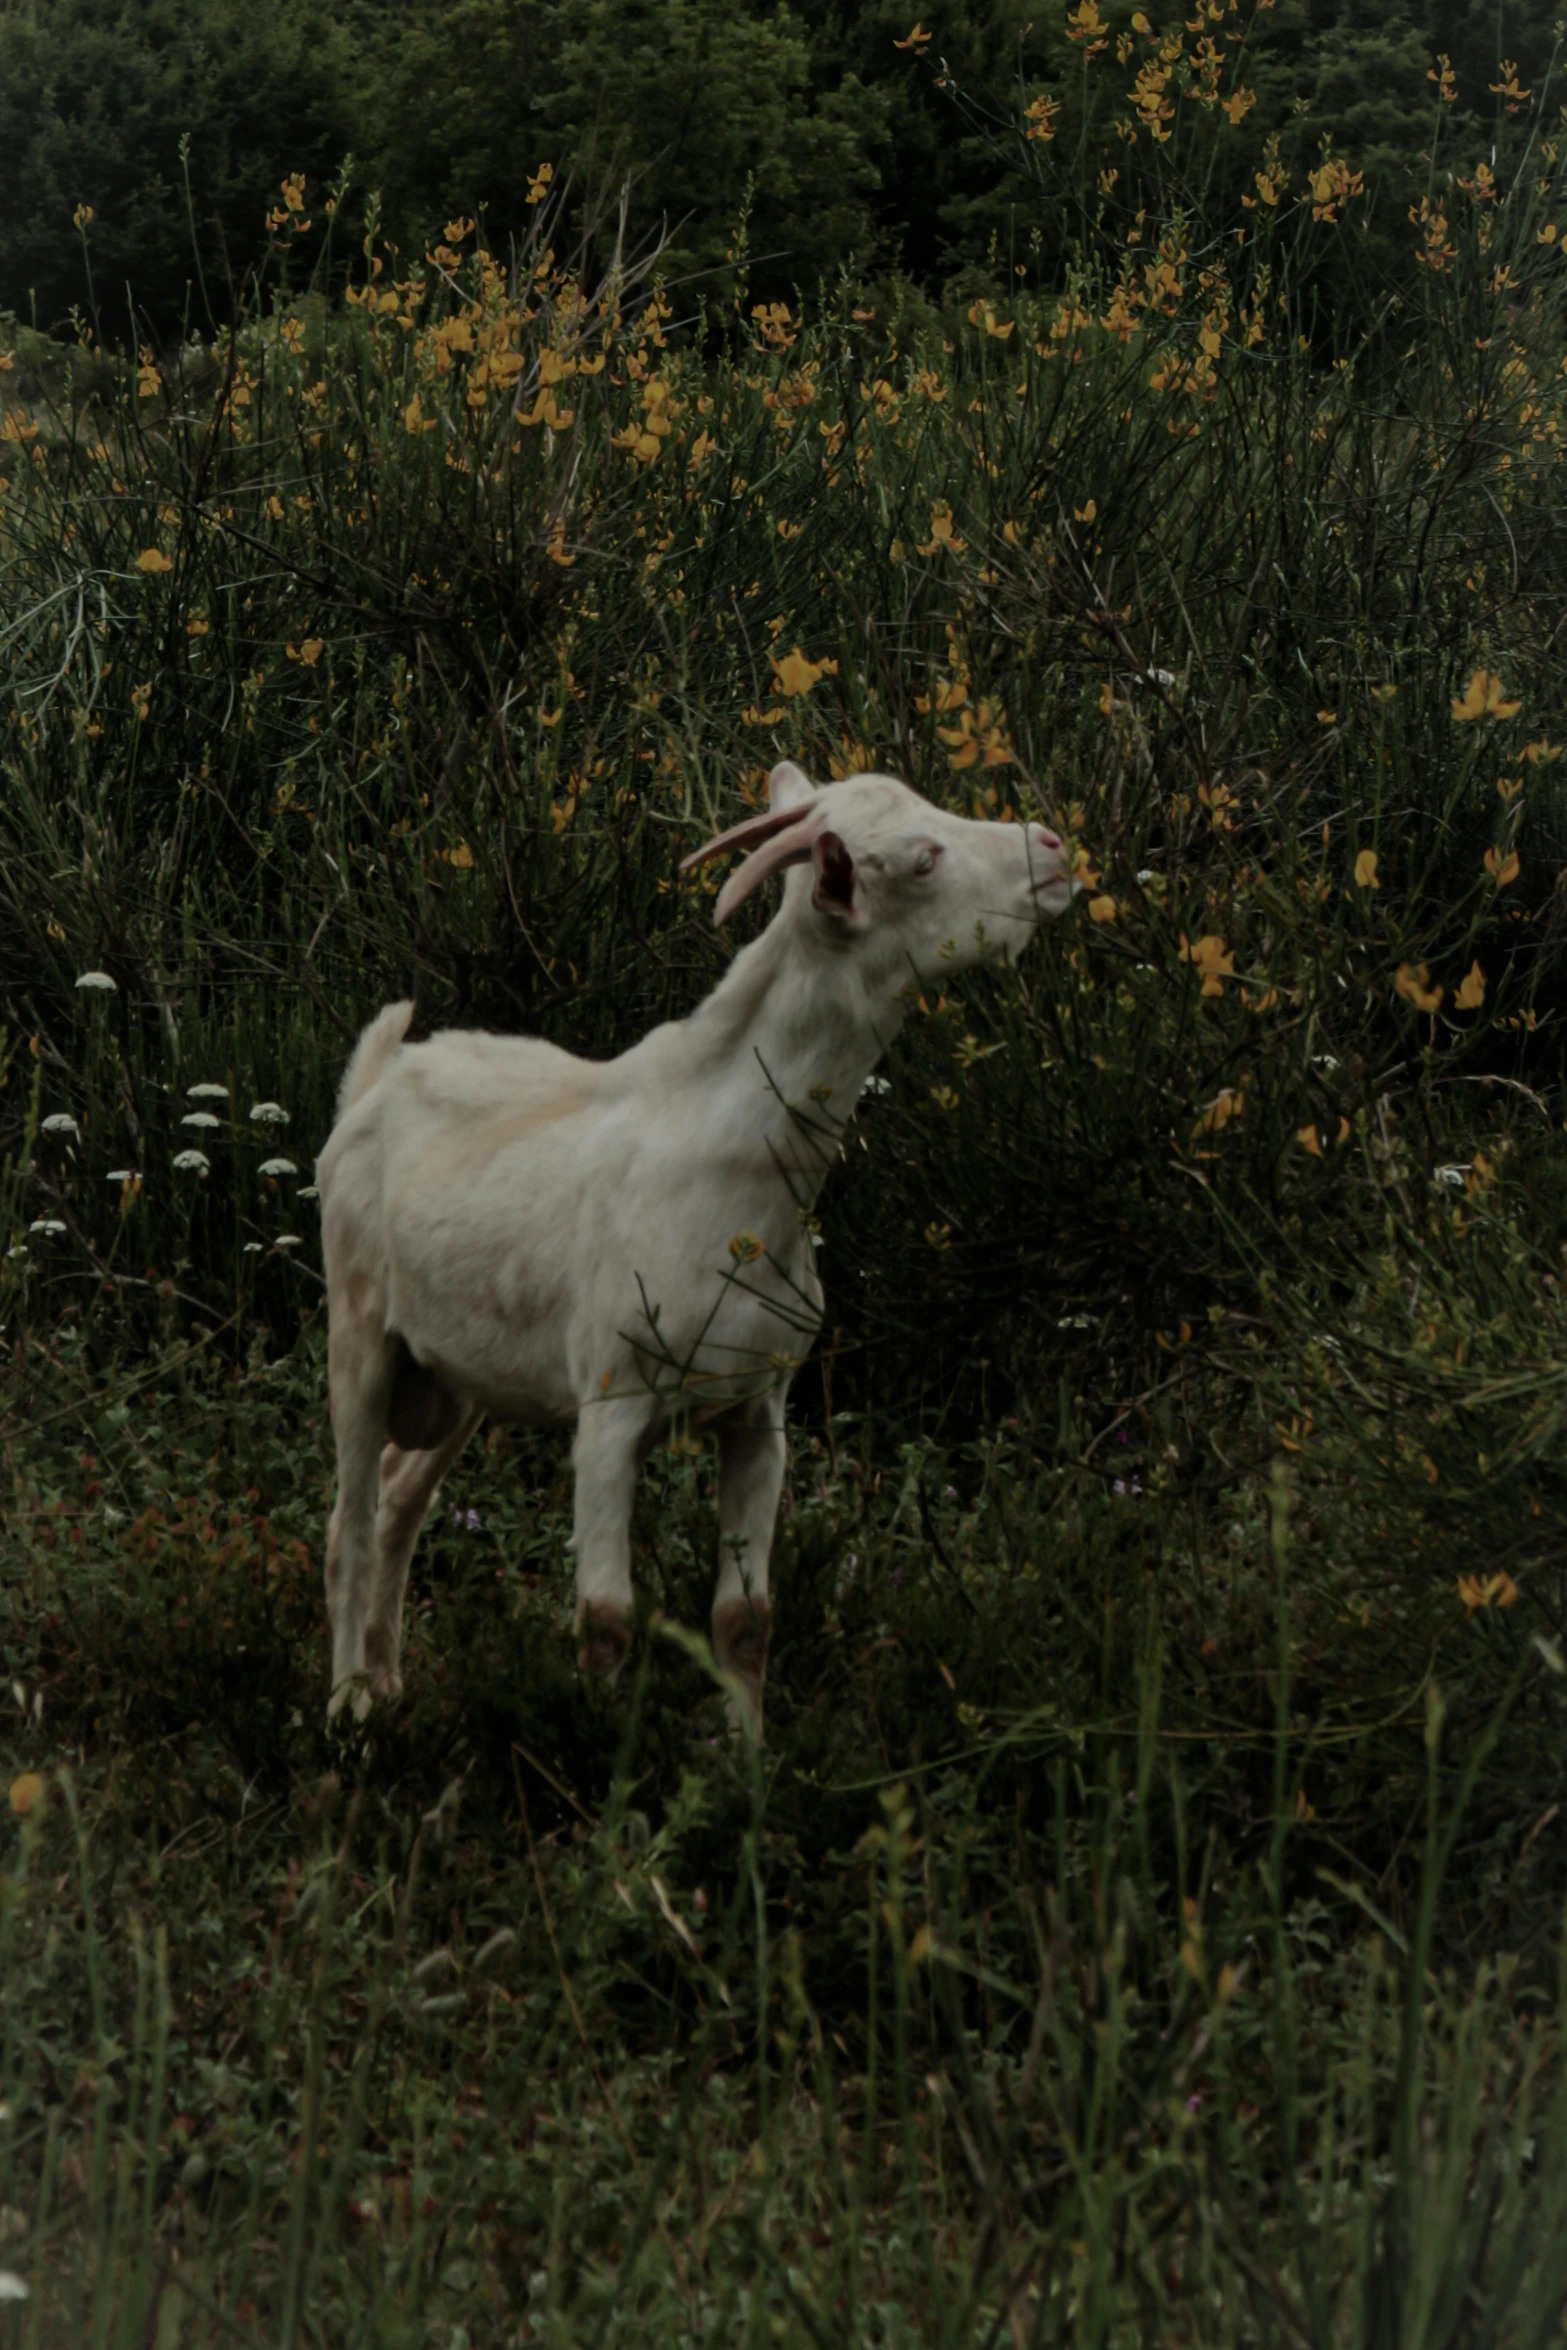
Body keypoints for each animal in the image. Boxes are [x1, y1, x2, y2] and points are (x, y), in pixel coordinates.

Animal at [319, 761, 1080, 1738]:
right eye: (921, 858)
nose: (1050, 848)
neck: (730, 1164)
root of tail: (376, 1083)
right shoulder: (611, 1405)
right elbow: (604, 1621)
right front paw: (599, 1750)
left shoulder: (760, 1409)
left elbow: (744, 1618)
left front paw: (743, 1759)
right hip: (359, 1327)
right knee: (350, 1519)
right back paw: (346, 1709)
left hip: (458, 1374)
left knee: (400, 1497)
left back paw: (387, 1685)